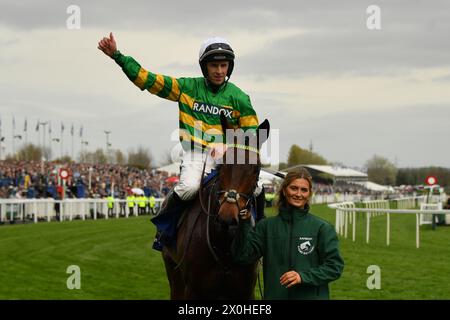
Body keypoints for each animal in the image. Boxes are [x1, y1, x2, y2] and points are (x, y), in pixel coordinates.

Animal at [161, 115, 268, 300]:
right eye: (223, 164)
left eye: (256, 168)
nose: (227, 219)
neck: (224, 247)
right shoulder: (193, 290)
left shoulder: (246, 291)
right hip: (173, 271)